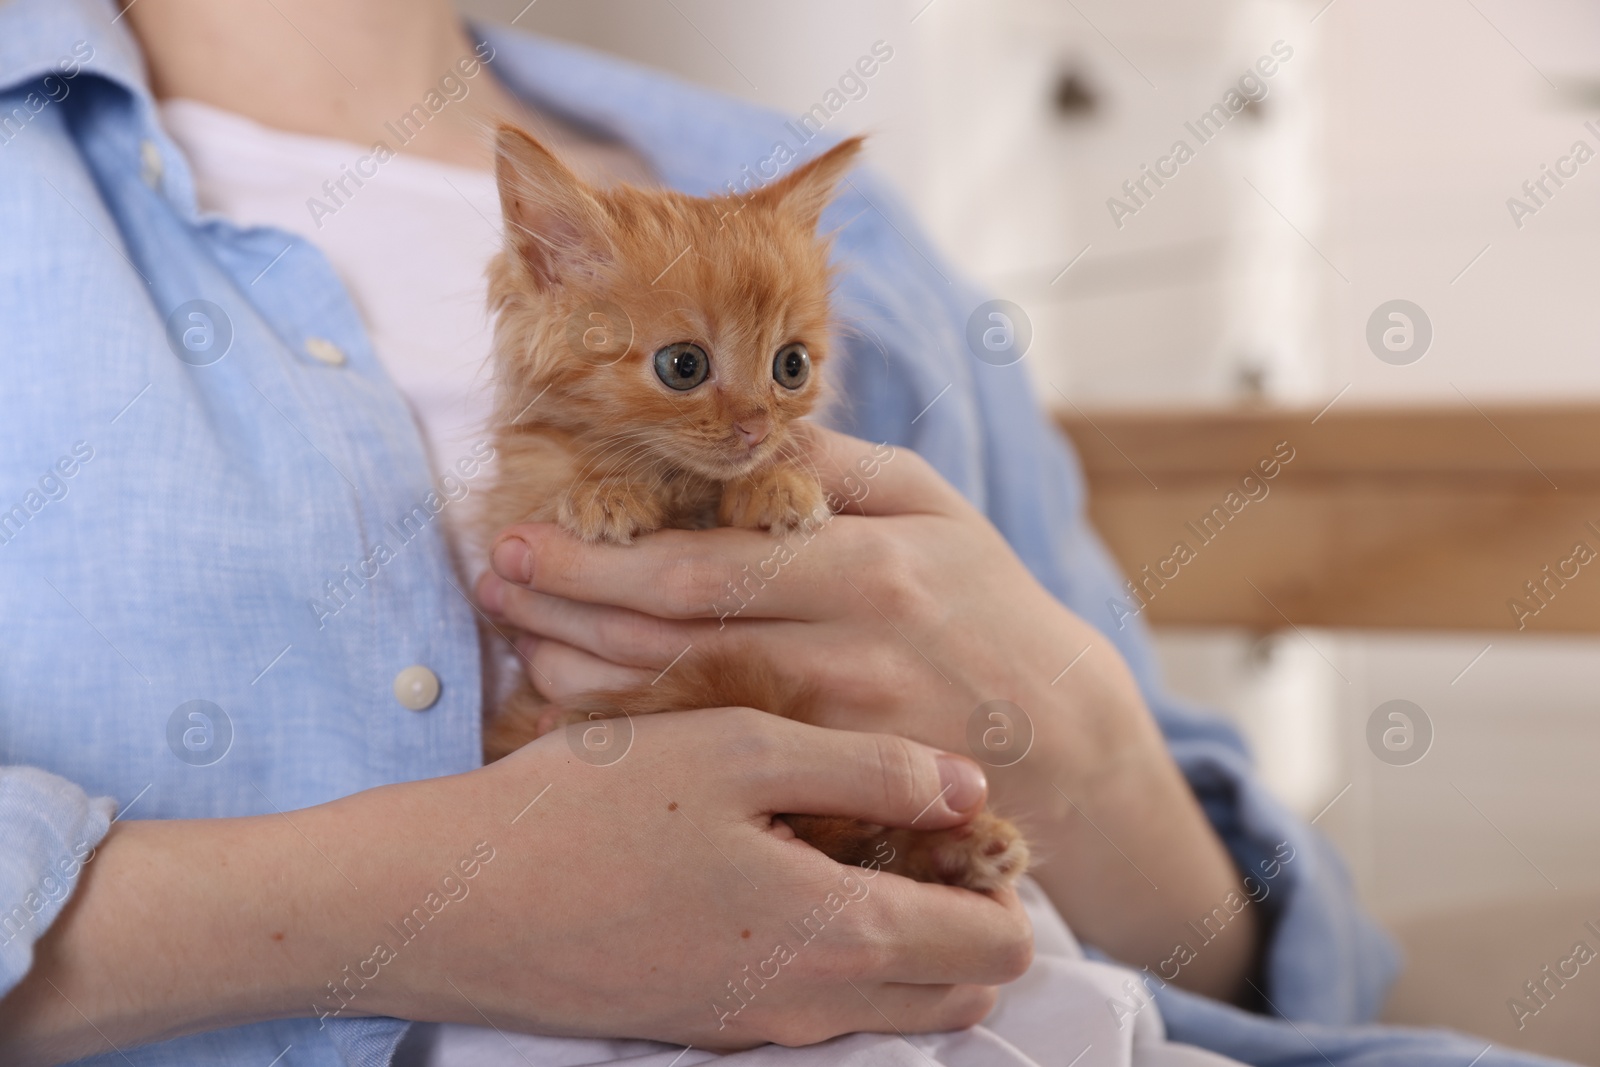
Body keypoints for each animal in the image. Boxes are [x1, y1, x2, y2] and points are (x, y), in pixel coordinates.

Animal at [473, 125, 1024, 895]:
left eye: (791, 366)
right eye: (683, 365)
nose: (757, 426)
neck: (683, 484)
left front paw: (776, 485)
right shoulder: (510, 509)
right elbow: (560, 488)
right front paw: (607, 490)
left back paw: (966, 843)